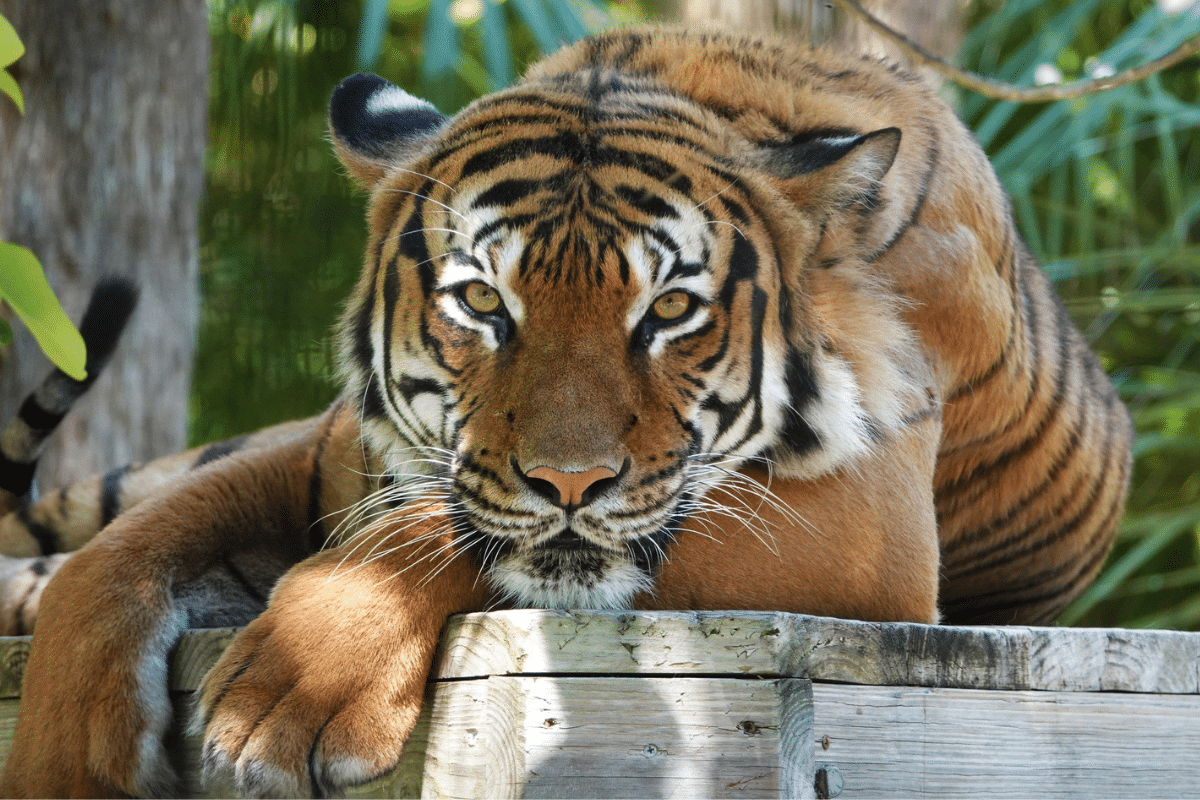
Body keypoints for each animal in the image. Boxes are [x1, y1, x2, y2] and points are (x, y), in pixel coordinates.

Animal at [1, 26, 1132, 799]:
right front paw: (63, 758)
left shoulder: (871, 532)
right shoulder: (325, 454)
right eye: (481, 301)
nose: (570, 483)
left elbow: (428, 531)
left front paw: (290, 692)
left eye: (669, 310)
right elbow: (118, 557)